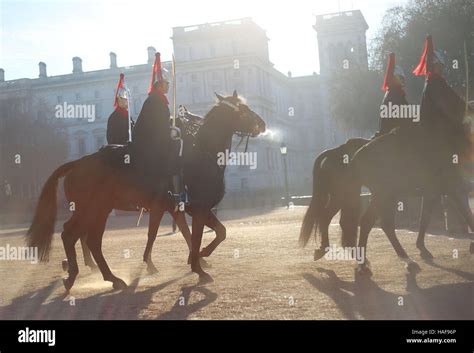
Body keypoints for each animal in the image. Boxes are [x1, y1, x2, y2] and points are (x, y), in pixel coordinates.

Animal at [26, 90, 266, 288]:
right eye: (242, 109)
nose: (262, 124)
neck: (202, 154)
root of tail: (77, 163)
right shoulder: (196, 209)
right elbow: (197, 235)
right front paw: (198, 264)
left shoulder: (184, 209)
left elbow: (213, 232)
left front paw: (197, 258)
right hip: (91, 210)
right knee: (72, 235)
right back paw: (78, 274)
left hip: (99, 211)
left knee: (88, 240)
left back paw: (107, 277)